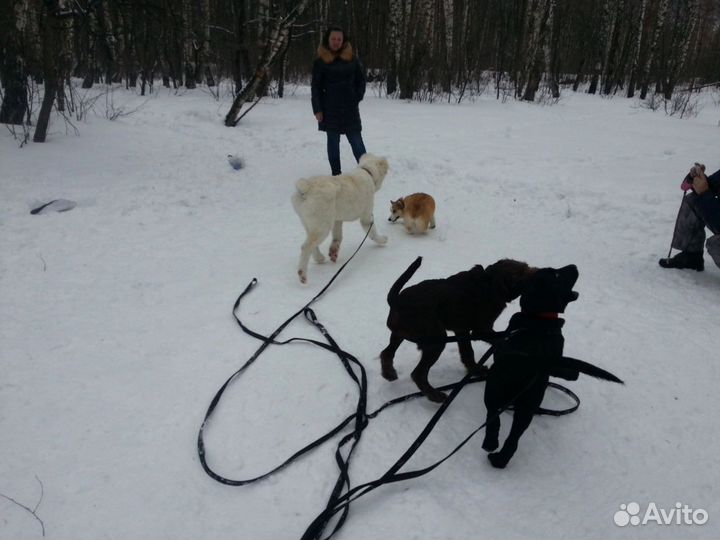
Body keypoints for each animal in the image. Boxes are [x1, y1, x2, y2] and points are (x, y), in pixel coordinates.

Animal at [292, 153, 390, 282]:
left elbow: (338, 236)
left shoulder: (337, 220)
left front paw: (333, 251)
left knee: (311, 243)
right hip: (322, 226)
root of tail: (306, 188)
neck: (366, 171)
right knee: (306, 247)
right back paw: (302, 274)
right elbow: (372, 232)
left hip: (311, 223)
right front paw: (383, 240)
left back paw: (320, 258)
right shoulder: (366, 216)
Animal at [382, 256, 536, 400]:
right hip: (437, 340)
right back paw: (435, 396)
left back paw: (388, 373)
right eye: (518, 275)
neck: (490, 282)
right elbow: (500, 339)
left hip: (399, 335)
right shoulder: (481, 330)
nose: (538, 271)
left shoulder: (462, 331)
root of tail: (396, 301)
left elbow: (468, 353)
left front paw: (476, 370)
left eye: (526, 267)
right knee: (418, 374)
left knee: (387, 353)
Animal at [478, 266, 624, 468]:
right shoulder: (556, 359)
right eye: (556, 274)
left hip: (498, 391)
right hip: (524, 401)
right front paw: (573, 373)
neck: (536, 318)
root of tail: (527, 362)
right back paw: (497, 456)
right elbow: (563, 369)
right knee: (509, 434)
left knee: (496, 419)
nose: (574, 266)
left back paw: (493, 448)